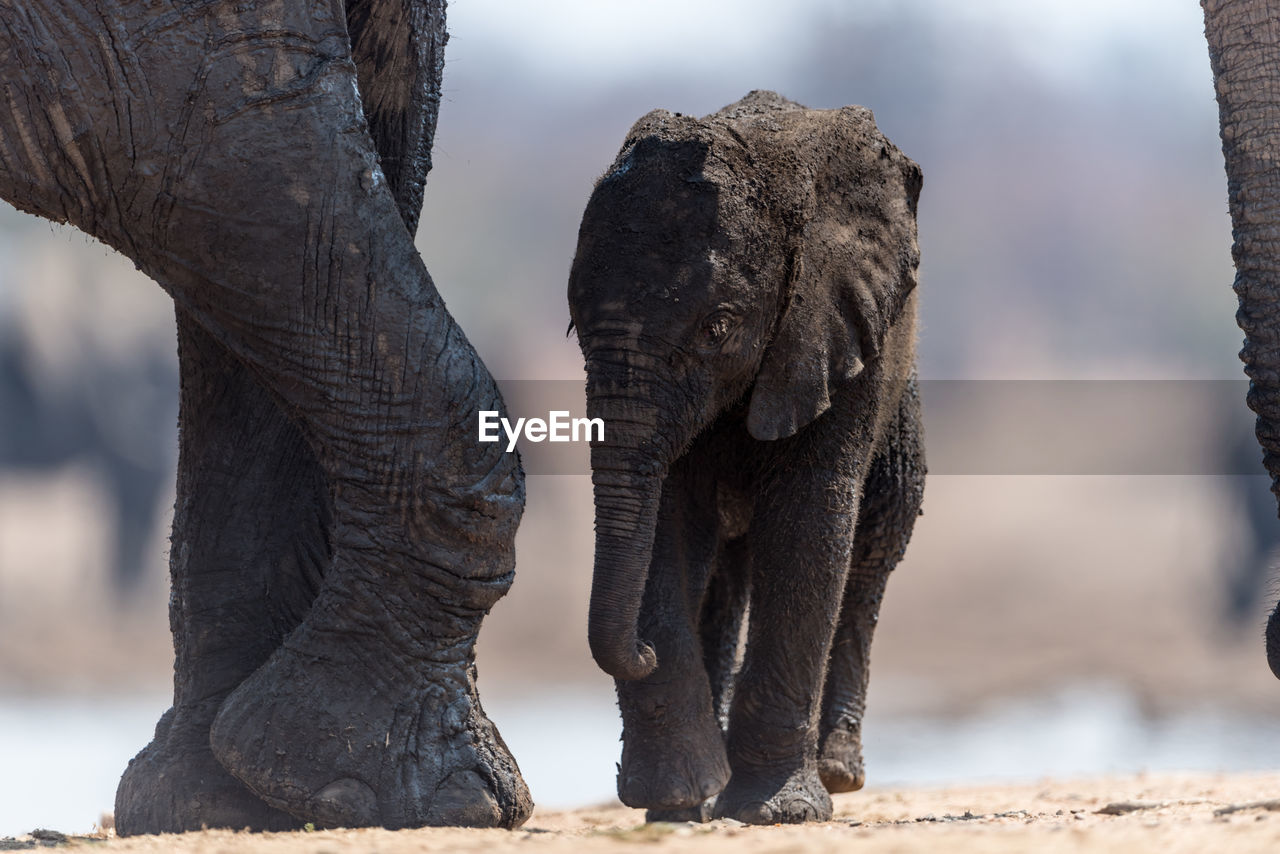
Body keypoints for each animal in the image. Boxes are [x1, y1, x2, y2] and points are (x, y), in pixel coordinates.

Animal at [568, 90, 921, 824]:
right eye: (574, 325)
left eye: (718, 327)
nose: (639, 651)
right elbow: (667, 521)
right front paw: (676, 798)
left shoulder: (832, 328)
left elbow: (809, 519)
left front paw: (776, 812)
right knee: (723, 575)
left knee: (875, 547)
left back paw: (837, 773)